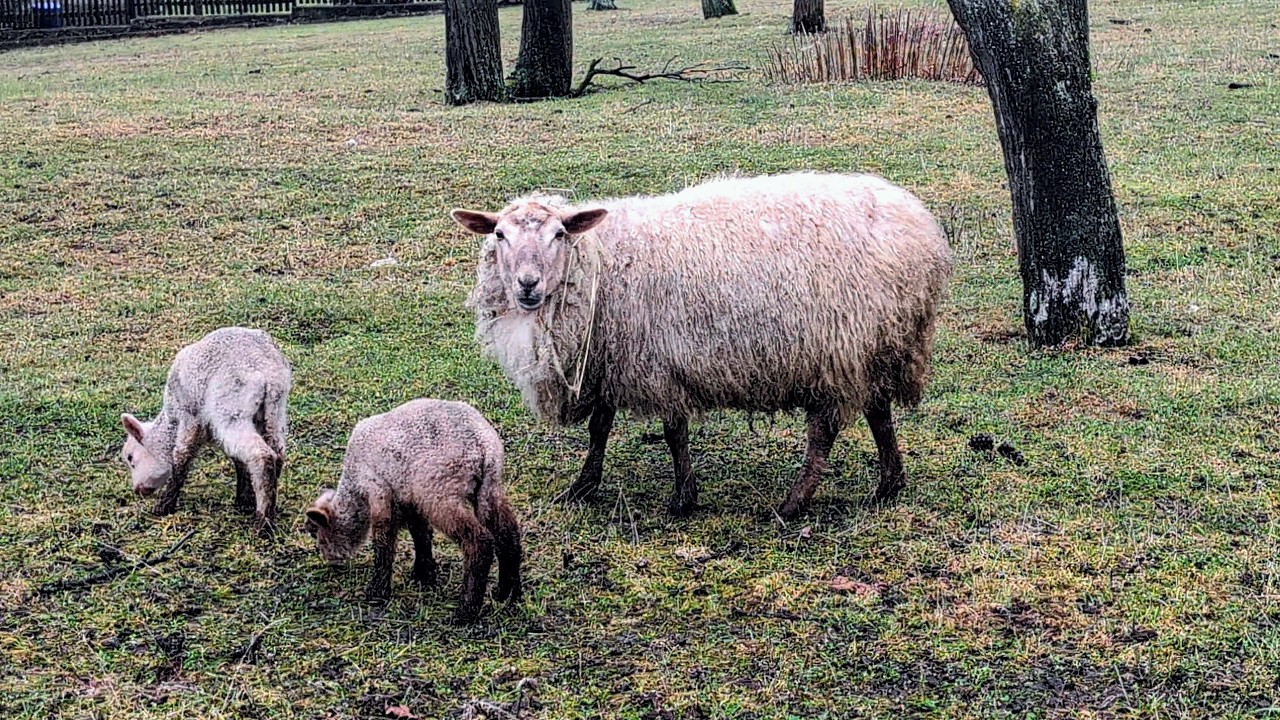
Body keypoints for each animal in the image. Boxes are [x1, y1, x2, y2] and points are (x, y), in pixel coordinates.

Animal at [120, 326, 291, 534]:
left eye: (130, 458)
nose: (137, 490)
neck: (171, 419)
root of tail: (267, 370)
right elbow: (238, 460)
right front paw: (244, 500)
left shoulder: (189, 416)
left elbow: (182, 455)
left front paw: (164, 505)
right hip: (275, 410)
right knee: (277, 452)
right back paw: (269, 507)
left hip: (230, 409)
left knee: (262, 455)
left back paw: (263, 523)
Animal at [304, 399, 523, 624]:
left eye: (315, 533)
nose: (330, 561)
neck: (354, 491)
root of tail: (481, 444)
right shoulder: (410, 499)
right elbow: (420, 534)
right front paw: (423, 574)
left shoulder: (379, 491)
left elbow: (383, 542)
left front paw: (377, 592)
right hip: (489, 487)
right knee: (508, 535)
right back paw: (507, 593)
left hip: (440, 492)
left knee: (479, 542)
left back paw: (465, 612)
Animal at [451, 171, 952, 520]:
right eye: (499, 235)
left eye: (559, 234)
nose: (527, 286)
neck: (601, 263)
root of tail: (922, 230)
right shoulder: (610, 360)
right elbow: (600, 429)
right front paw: (582, 487)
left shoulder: (654, 362)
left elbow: (674, 432)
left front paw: (682, 499)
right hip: (878, 345)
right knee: (879, 412)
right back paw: (889, 485)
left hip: (839, 349)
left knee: (824, 432)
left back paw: (792, 505)